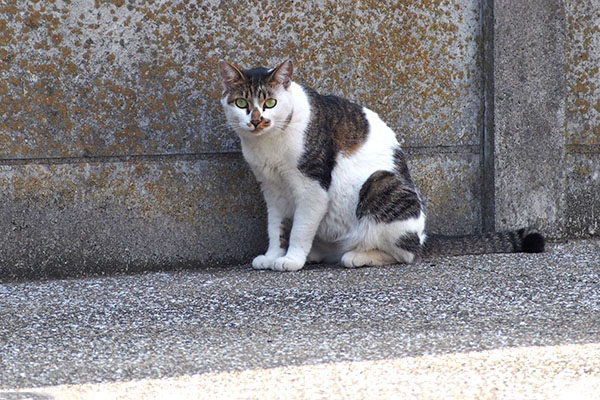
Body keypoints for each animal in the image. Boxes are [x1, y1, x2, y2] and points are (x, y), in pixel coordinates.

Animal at [219, 59, 544, 272]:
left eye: (270, 103)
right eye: (241, 103)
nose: (256, 120)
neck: (269, 144)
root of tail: (423, 235)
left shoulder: (312, 188)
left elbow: (299, 228)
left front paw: (291, 259)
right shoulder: (272, 189)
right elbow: (276, 226)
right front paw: (273, 254)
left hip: (381, 184)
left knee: (407, 254)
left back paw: (357, 256)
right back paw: (321, 253)